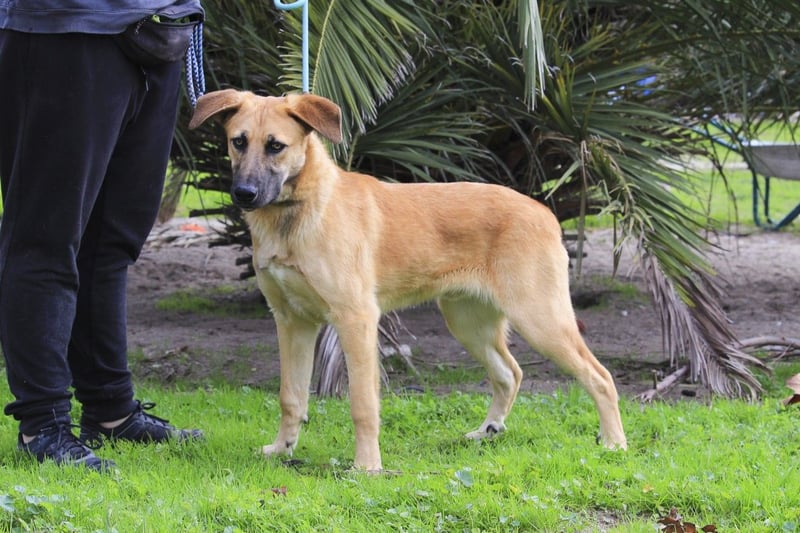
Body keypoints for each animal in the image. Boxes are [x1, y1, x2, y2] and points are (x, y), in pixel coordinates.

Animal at [189, 89, 627, 471]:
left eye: (276, 146)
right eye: (238, 141)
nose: (243, 194)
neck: (300, 212)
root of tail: (544, 211)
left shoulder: (356, 319)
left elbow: (363, 404)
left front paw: (367, 466)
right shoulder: (292, 321)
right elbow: (290, 396)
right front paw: (282, 449)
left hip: (540, 318)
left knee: (600, 377)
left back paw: (614, 443)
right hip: (468, 320)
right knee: (510, 372)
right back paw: (488, 430)